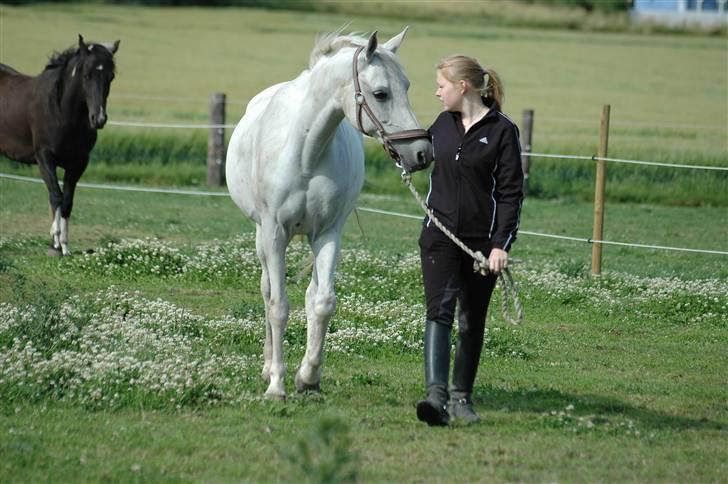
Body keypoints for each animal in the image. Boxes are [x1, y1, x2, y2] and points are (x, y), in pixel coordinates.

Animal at [0, 36, 119, 255]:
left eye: (111, 76)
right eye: (87, 74)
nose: (98, 119)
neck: (61, 111)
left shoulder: (78, 164)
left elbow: (67, 201)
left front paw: (64, 245)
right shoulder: (45, 158)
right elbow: (56, 196)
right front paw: (55, 242)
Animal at [228, 27, 432, 398]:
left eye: (407, 86)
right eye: (380, 93)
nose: (422, 152)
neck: (305, 152)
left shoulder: (327, 234)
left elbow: (322, 303)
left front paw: (307, 377)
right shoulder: (274, 233)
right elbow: (278, 306)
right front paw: (276, 383)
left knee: (311, 296)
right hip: (262, 236)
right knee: (266, 291)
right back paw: (267, 366)